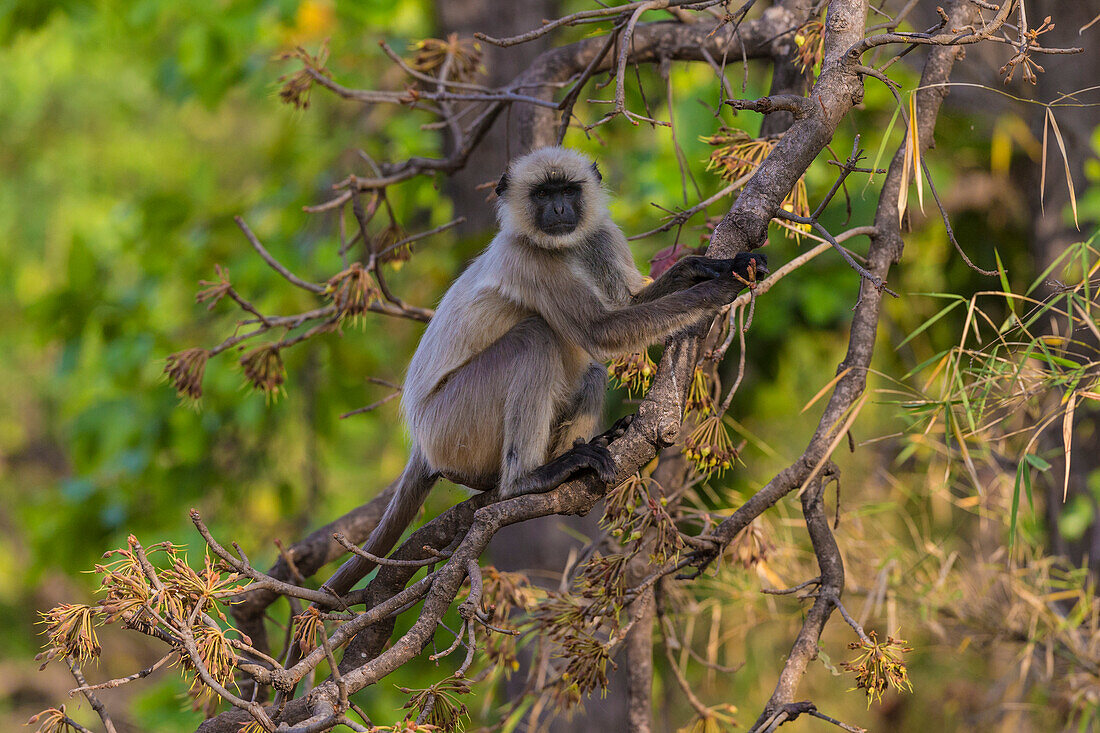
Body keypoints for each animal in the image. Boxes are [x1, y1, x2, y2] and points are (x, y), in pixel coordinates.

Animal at [319, 145, 765, 598]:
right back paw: (527, 479)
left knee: (590, 370)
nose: (559, 209)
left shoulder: (600, 236)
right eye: (542, 194)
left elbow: (628, 304)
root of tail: (421, 441)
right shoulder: (527, 256)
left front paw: (711, 266)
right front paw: (719, 288)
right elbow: (601, 329)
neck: (562, 247)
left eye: (567, 190)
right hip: (452, 423)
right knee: (536, 338)